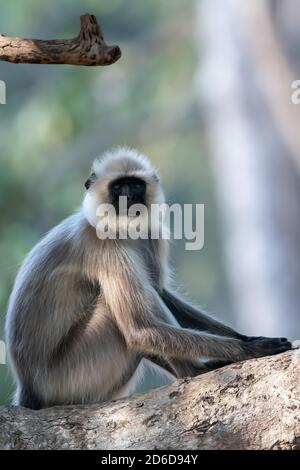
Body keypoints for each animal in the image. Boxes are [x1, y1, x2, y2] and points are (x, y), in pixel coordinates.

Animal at [4, 147, 290, 408]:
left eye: (135, 185)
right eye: (119, 187)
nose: (129, 197)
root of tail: (29, 390)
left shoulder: (152, 233)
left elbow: (159, 292)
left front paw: (245, 338)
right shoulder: (102, 244)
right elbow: (139, 328)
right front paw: (249, 350)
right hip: (71, 377)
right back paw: (194, 372)